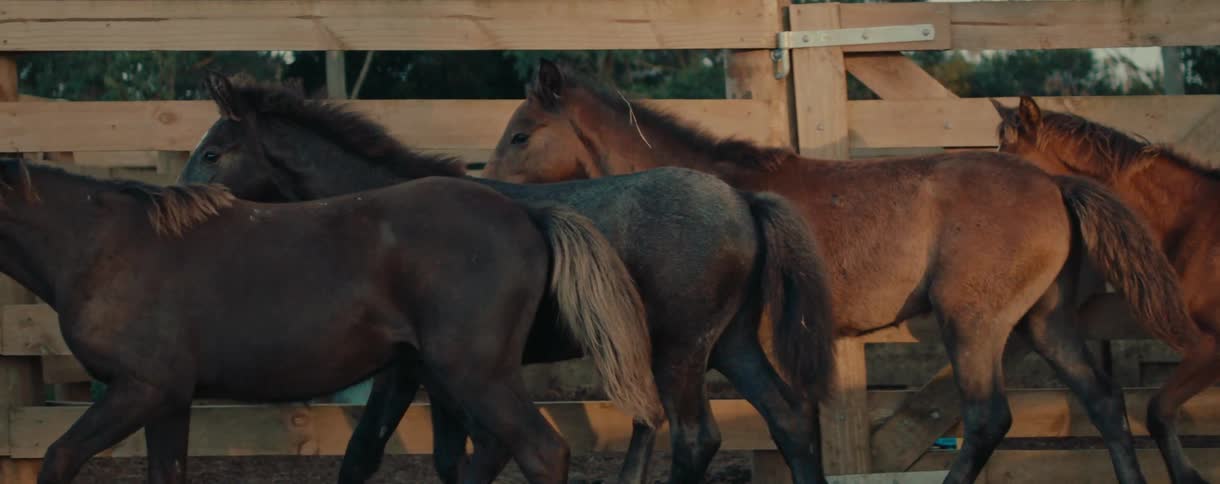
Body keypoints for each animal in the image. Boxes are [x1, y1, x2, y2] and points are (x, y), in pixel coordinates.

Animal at [1, 157, 657, 484]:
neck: (99, 245)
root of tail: (528, 213)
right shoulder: (169, 398)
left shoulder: (140, 388)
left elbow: (58, 459)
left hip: (476, 373)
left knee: (542, 452)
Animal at [177, 73, 837, 484]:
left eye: (212, 152)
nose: (180, 200)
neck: (378, 211)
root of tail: (745, 202)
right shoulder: (432, 371)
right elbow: (445, 457)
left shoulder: (405, 369)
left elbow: (366, 454)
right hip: (731, 342)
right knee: (790, 417)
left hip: (682, 349)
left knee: (697, 438)